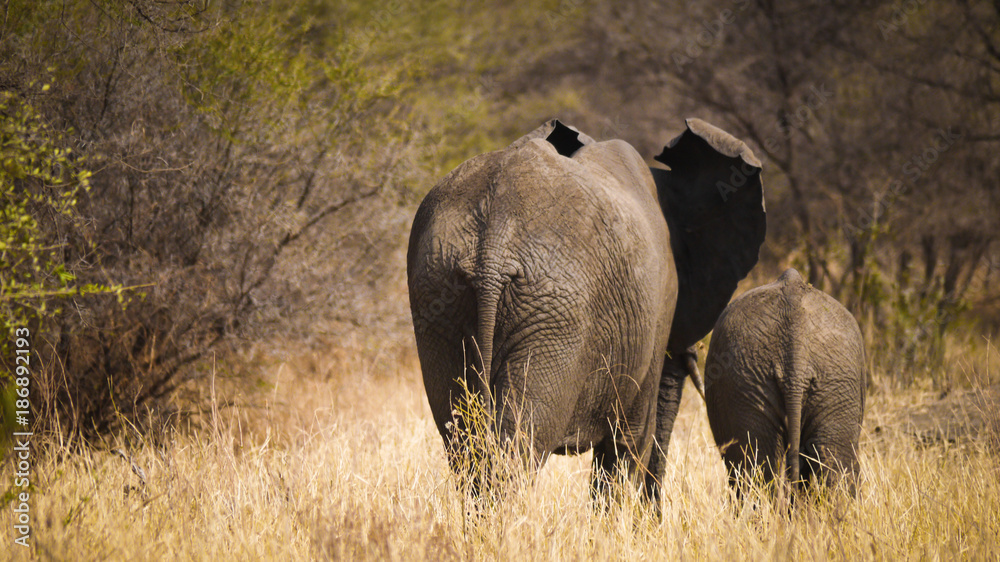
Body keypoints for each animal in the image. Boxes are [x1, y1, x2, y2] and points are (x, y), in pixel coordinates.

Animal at [406, 118, 765, 505]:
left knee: (463, 438)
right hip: (554, 312)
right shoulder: (658, 305)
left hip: (440, 294)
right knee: (519, 443)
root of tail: (494, 240)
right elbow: (630, 440)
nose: (655, 512)